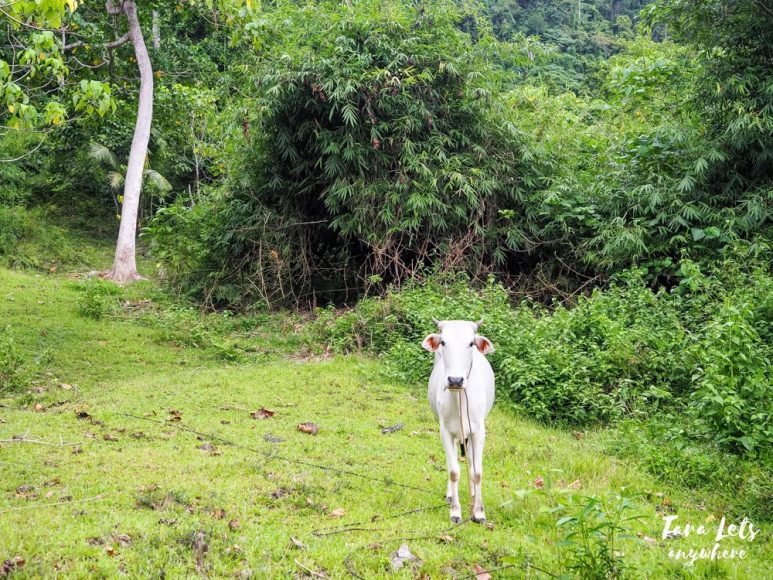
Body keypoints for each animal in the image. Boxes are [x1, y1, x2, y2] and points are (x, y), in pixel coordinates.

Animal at [422, 318, 495, 524]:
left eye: (471, 343)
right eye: (443, 342)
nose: (455, 380)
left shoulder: (479, 431)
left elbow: (477, 472)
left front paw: (479, 512)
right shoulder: (445, 431)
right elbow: (453, 471)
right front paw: (455, 511)